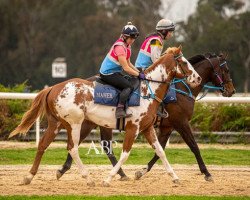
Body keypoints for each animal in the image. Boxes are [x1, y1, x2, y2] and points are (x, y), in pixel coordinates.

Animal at [9, 46, 197, 187]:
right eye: (185, 62)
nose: (197, 78)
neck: (147, 91)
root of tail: (53, 88)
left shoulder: (147, 128)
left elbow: (160, 152)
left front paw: (175, 177)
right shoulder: (133, 128)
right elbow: (125, 154)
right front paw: (108, 179)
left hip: (56, 124)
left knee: (43, 145)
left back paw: (29, 177)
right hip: (75, 124)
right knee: (72, 148)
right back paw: (88, 178)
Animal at [55, 52, 235, 181]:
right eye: (226, 70)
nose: (231, 90)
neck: (181, 90)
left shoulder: (166, 127)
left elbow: (159, 150)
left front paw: (142, 171)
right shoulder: (181, 123)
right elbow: (194, 146)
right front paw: (207, 173)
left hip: (99, 124)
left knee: (98, 146)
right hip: (88, 123)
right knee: (80, 144)